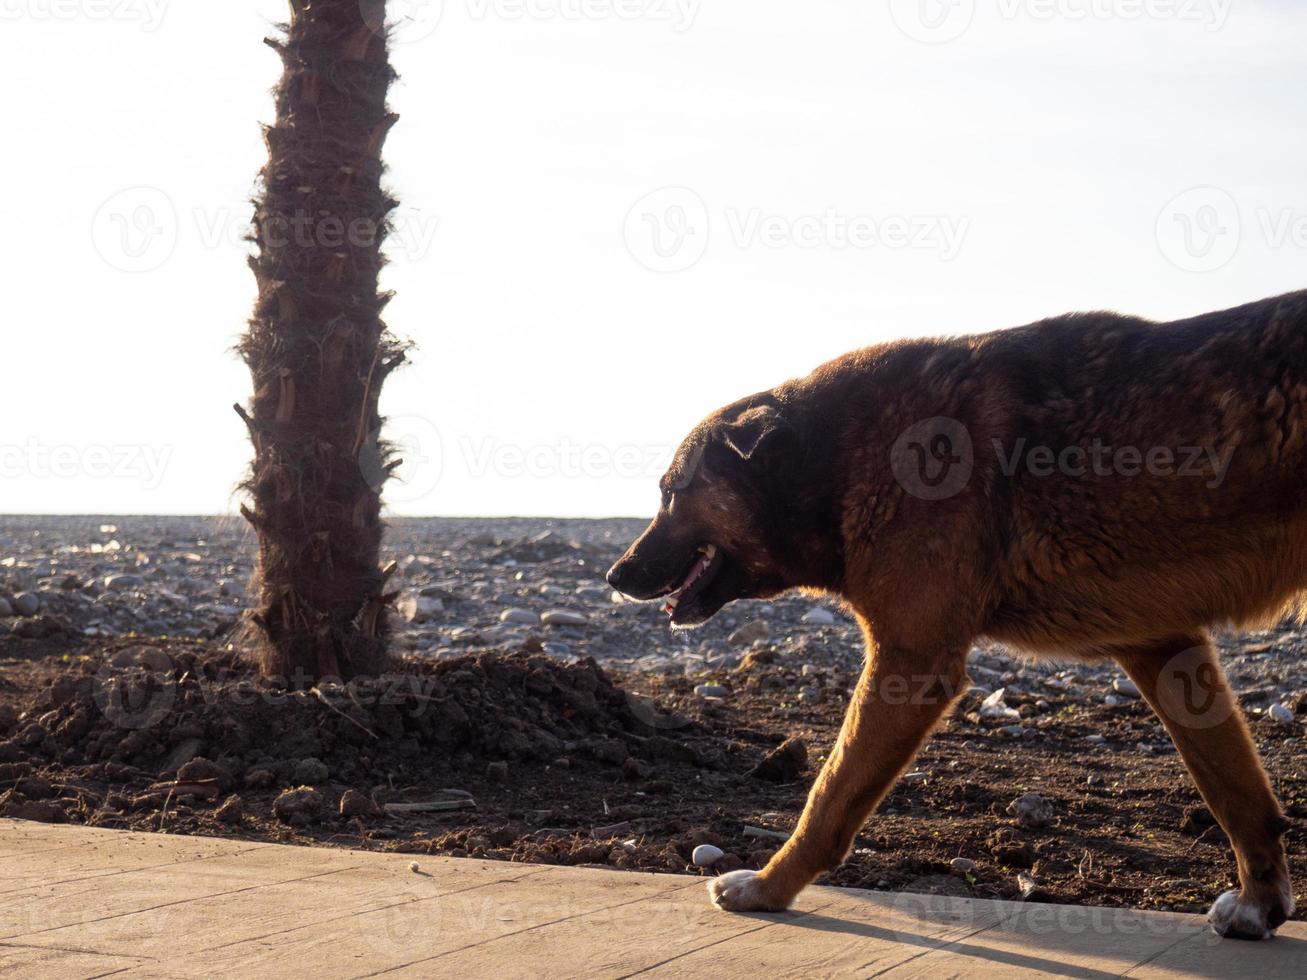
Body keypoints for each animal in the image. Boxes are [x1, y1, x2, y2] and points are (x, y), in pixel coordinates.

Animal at [606, 291, 1301, 946]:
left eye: (670, 492)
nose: (614, 576)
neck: (836, 455)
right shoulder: (1162, 646)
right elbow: (1236, 791)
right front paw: (1259, 903)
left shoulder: (910, 663)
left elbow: (827, 796)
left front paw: (768, 888)